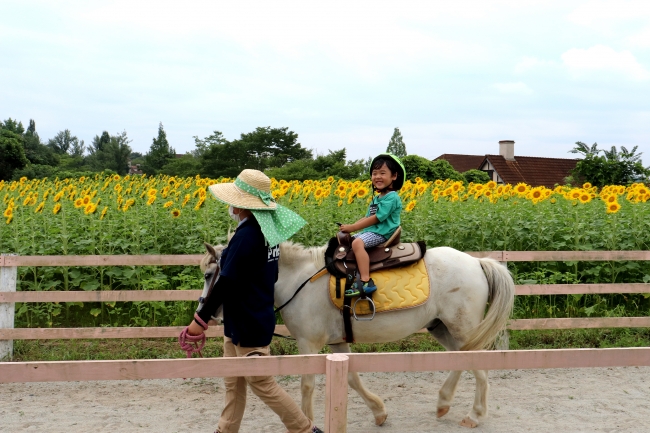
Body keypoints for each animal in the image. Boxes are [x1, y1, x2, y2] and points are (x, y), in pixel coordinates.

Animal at [200, 241, 512, 426]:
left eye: (208, 275)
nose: (206, 312)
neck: (297, 280)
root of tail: (477, 263)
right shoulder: (338, 343)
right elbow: (351, 378)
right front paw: (379, 412)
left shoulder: (308, 344)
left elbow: (307, 385)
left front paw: (308, 420)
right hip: (443, 328)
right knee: (462, 361)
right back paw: (443, 404)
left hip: (461, 327)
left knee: (477, 364)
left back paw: (474, 415)